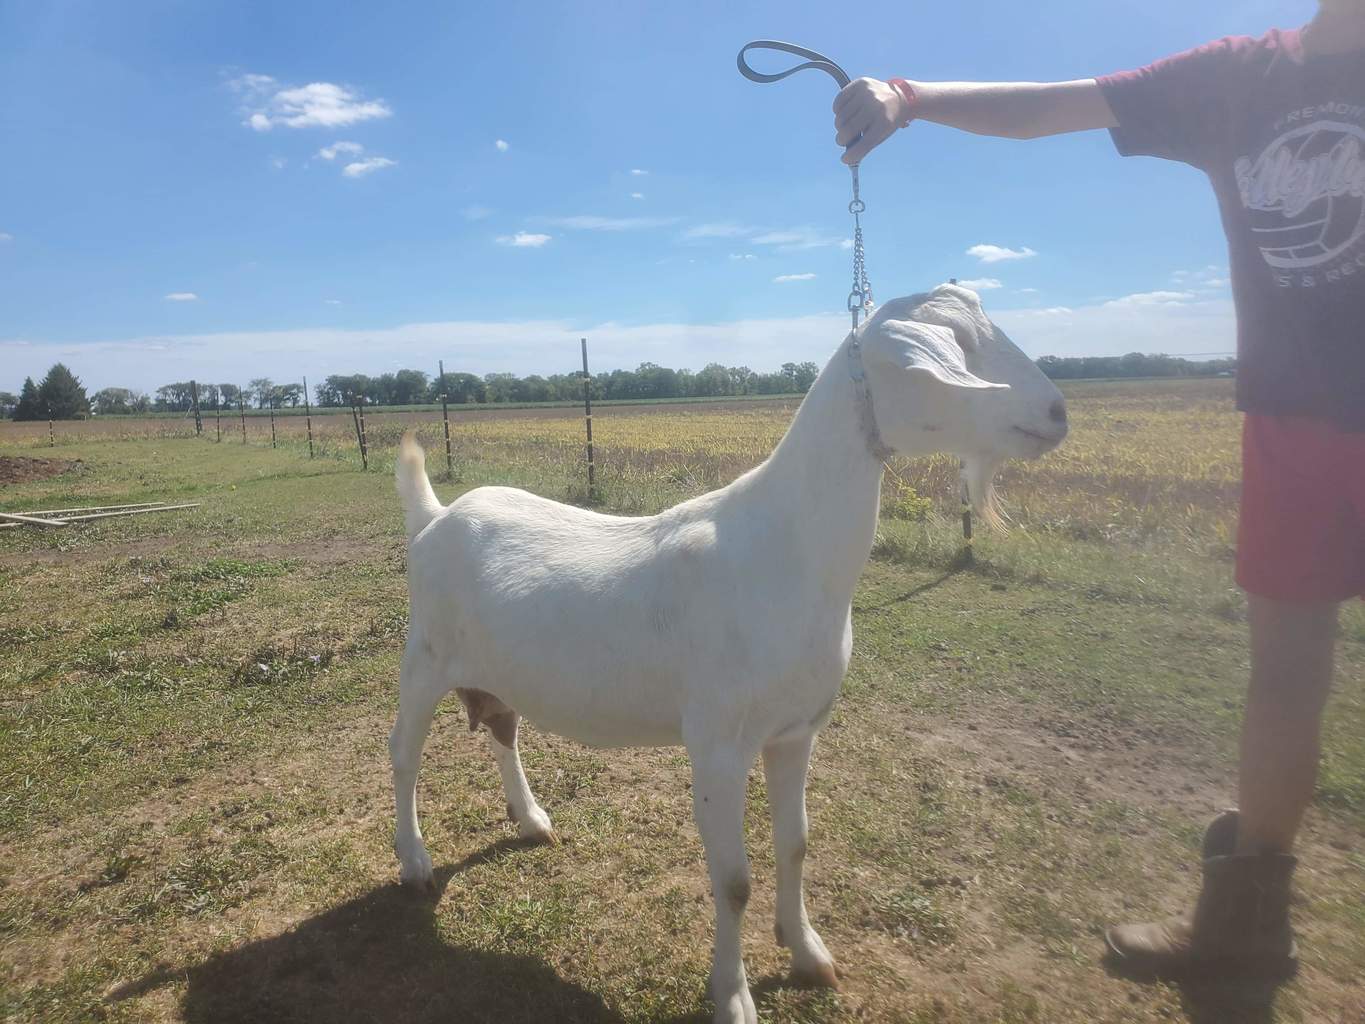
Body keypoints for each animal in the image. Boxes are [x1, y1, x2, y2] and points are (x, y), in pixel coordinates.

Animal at [392, 284, 1067, 1024]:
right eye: (952, 353)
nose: (1057, 413)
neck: (785, 550)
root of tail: (434, 517)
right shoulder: (717, 742)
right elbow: (735, 879)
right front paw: (734, 995)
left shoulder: (796, 731)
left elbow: (796, 844)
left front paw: (808, 954)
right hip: (424, 657)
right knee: (403, 753)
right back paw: (416, 862)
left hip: (494, 670)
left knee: (502, 728)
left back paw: (532, 820)